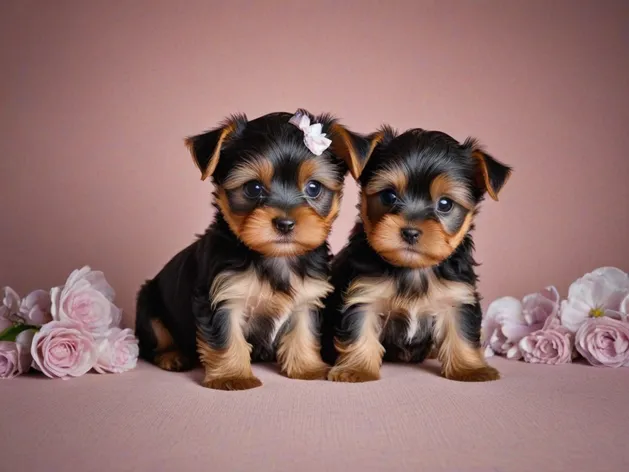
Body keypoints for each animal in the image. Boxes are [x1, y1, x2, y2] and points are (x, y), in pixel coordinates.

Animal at [136, 109, 380, 390]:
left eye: (314, 188)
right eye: (253, 188)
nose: (285, 223)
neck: (276, 257)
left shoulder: (307, 295)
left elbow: (304, 331)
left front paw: (307, 368)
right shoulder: (222, 296)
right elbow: (226, 336)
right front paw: (233, 376)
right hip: (149, 305)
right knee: (153, 341)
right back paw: (172, 356)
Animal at [322, 126, 512, 384]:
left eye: (445, 204)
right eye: (389, 196)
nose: (410, 232)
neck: (413, 269)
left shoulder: (457, 295)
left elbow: (461, 331)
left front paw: (471, 369)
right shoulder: (363, 292)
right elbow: (359, 328)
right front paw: (356, 369)